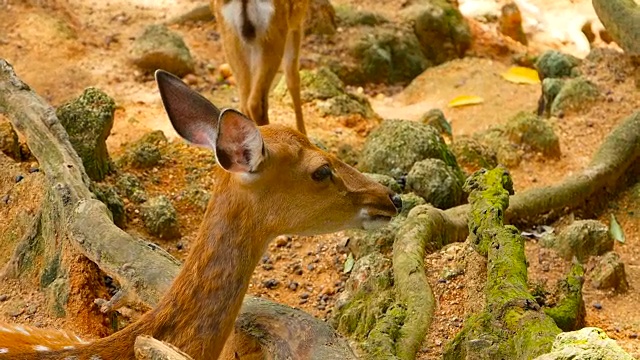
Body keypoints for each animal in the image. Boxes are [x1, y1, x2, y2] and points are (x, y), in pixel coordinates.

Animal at [211, 0, 308, 134]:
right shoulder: (295, 23)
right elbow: (292, 78)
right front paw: (302, 131)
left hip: (230, 36)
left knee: (245, 102)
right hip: (273, 32)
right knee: (256, 103)